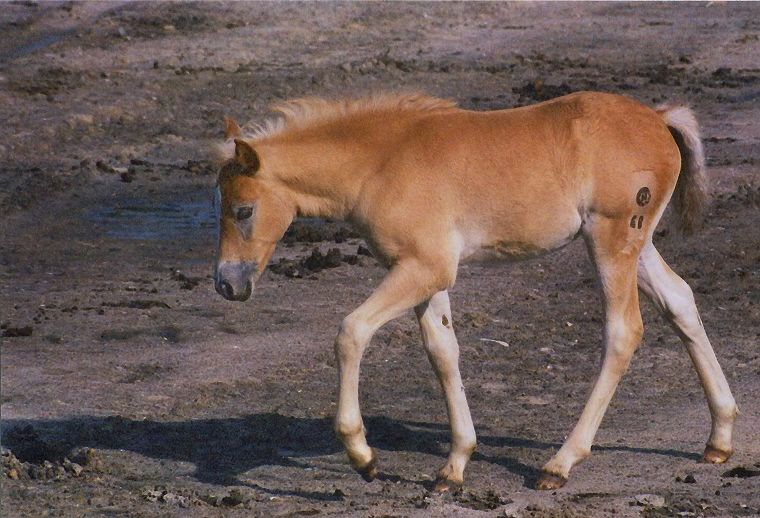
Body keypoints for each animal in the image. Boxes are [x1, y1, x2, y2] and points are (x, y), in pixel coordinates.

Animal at [212, 91, 737, 491]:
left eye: (243, 210)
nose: (227, 283)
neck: (379, 162)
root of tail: (659, 118)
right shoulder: (426, 275)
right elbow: (443, 352)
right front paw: (454, 466)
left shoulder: (423, 267)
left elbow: (351, 331)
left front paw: (363, 455)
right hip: (635, 245)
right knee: (680, 300)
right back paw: (719, 439)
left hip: (611, 240)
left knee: (623, 331)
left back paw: (560, 463)